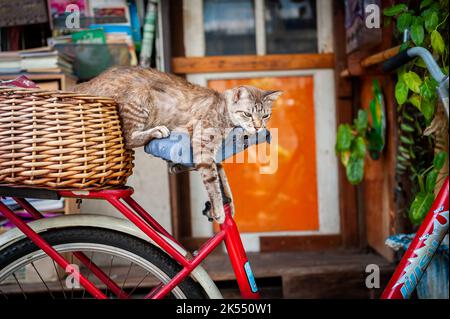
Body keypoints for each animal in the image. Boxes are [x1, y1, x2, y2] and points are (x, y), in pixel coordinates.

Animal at [75, 66, 284, 224]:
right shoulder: (203, 146)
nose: (258, 127)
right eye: (248, 114)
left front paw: (230, 205)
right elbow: (212, 182)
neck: (224, 111)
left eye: (265, 115)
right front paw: (218, 210)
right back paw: (157, 131)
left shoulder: (214, 155)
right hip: (138, 99)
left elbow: (223, 180)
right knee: (128, 137)